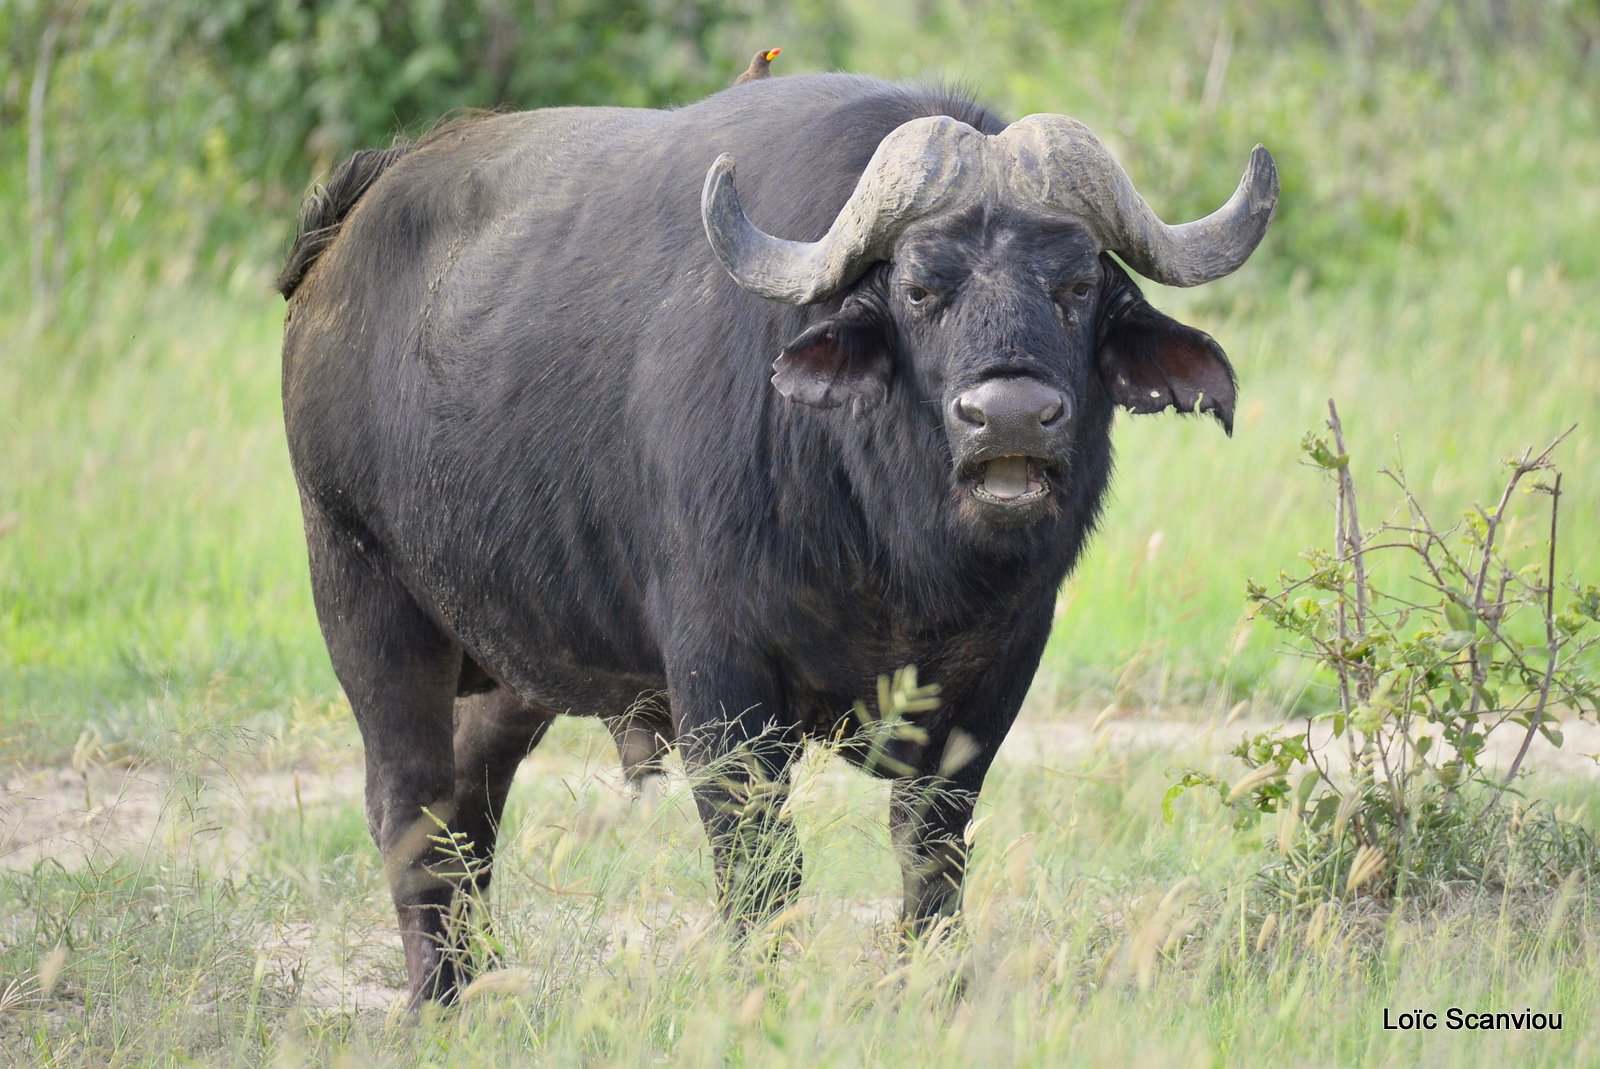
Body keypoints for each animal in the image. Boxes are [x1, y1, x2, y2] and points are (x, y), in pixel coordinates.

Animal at [275, 70, 1273, 1004]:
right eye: (920, 288)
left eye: (1077, 285)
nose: (1011, 416)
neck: (893, 552)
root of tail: (345, 230)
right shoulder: (720, 681)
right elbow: (759, 863)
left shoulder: (998, 670)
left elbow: (932, 847)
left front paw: (933, 982)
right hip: (361, 591)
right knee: (409, 807)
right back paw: (438, 996)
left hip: (510, 660)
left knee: (471, 812)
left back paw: (482, 980)